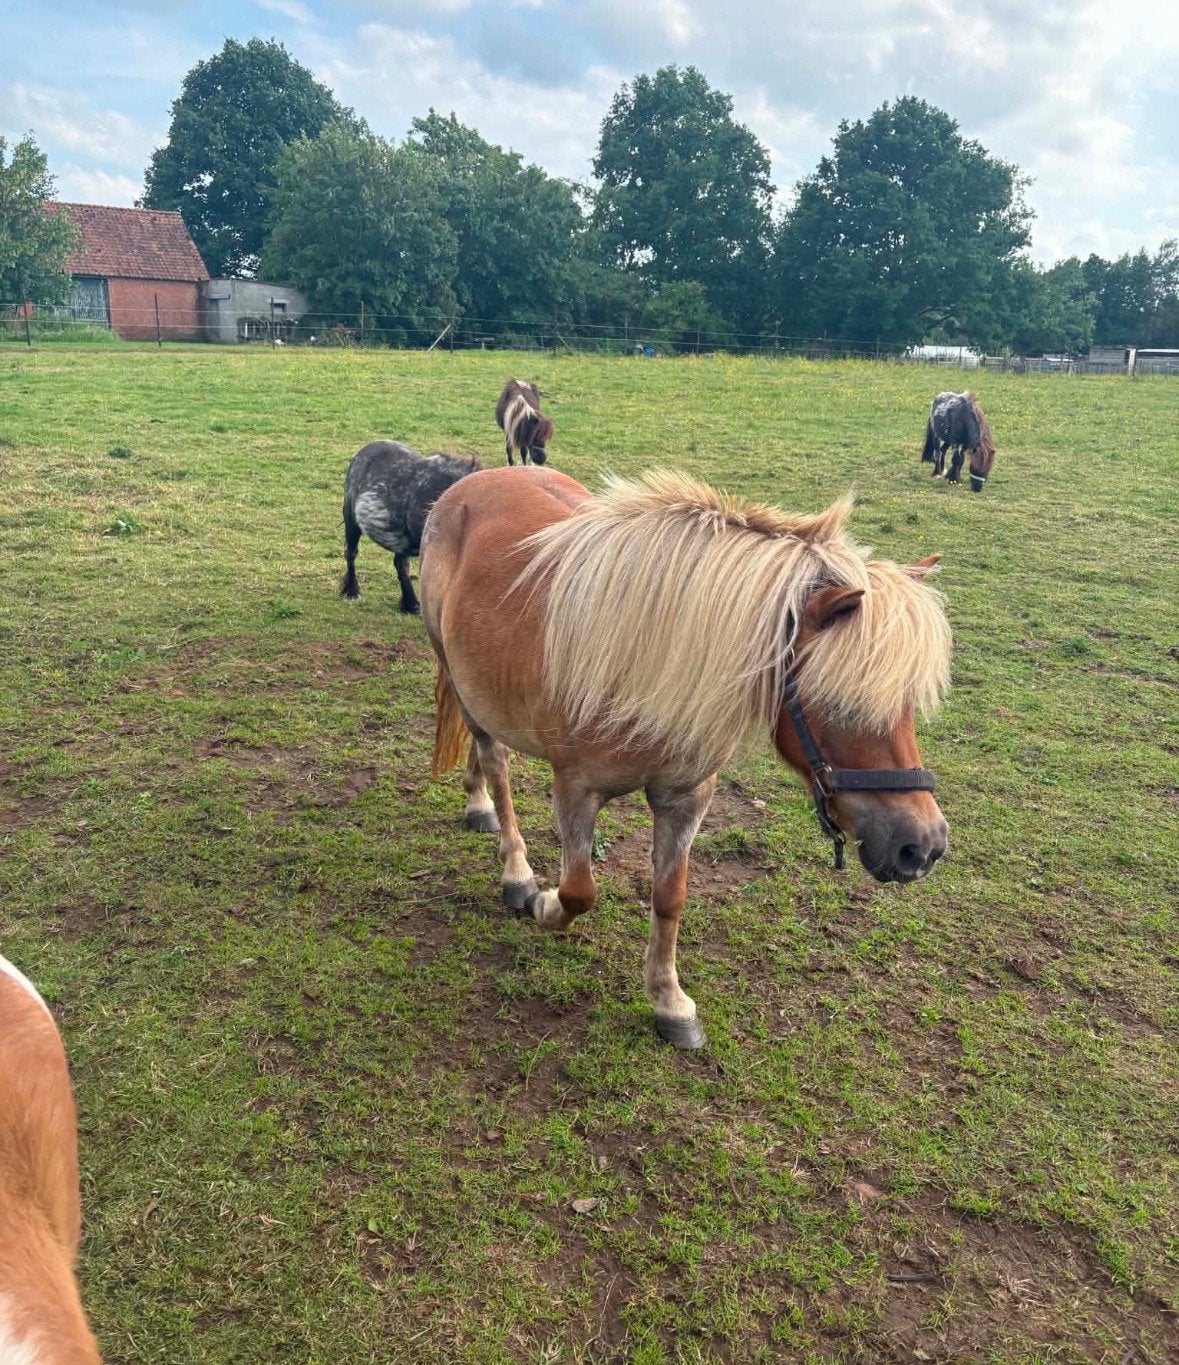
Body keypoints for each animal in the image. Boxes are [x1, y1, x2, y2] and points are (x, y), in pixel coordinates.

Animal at [420, 466, 951, 1049]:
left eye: (908, 705)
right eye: (837, 701)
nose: (922, 846)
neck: (645, 660)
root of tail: (469, 483)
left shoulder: (687, 797)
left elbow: (669, 896)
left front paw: (670, 1002)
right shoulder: (576, 790)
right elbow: (579, 892)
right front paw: (542, 902)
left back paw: (478, 806)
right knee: (496, 766)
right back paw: (514, 869)